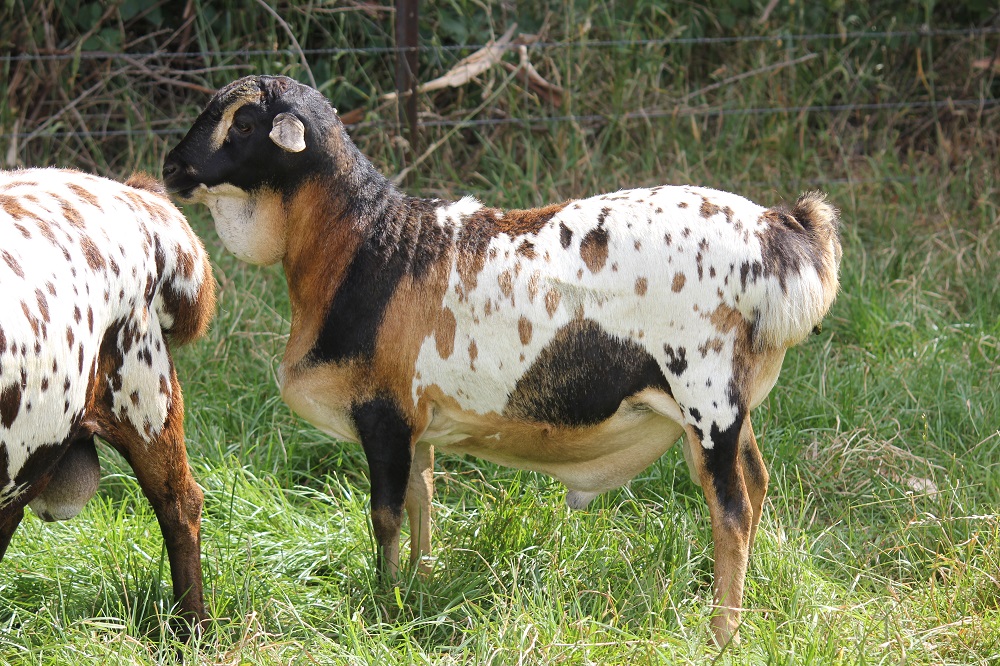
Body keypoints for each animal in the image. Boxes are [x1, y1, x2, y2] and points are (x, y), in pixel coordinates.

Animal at [166, 74, 844, 644]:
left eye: (244, 123)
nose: (172, 167)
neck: (367, 245)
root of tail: (777, 230)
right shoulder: (419, 424)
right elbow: (423, 502)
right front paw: (420, 588)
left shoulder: (384, 415)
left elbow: (385, 516)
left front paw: (385, 603)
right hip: (729, 407)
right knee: (756, 485)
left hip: (706, 398)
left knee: (731, 512)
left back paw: (721, 633)